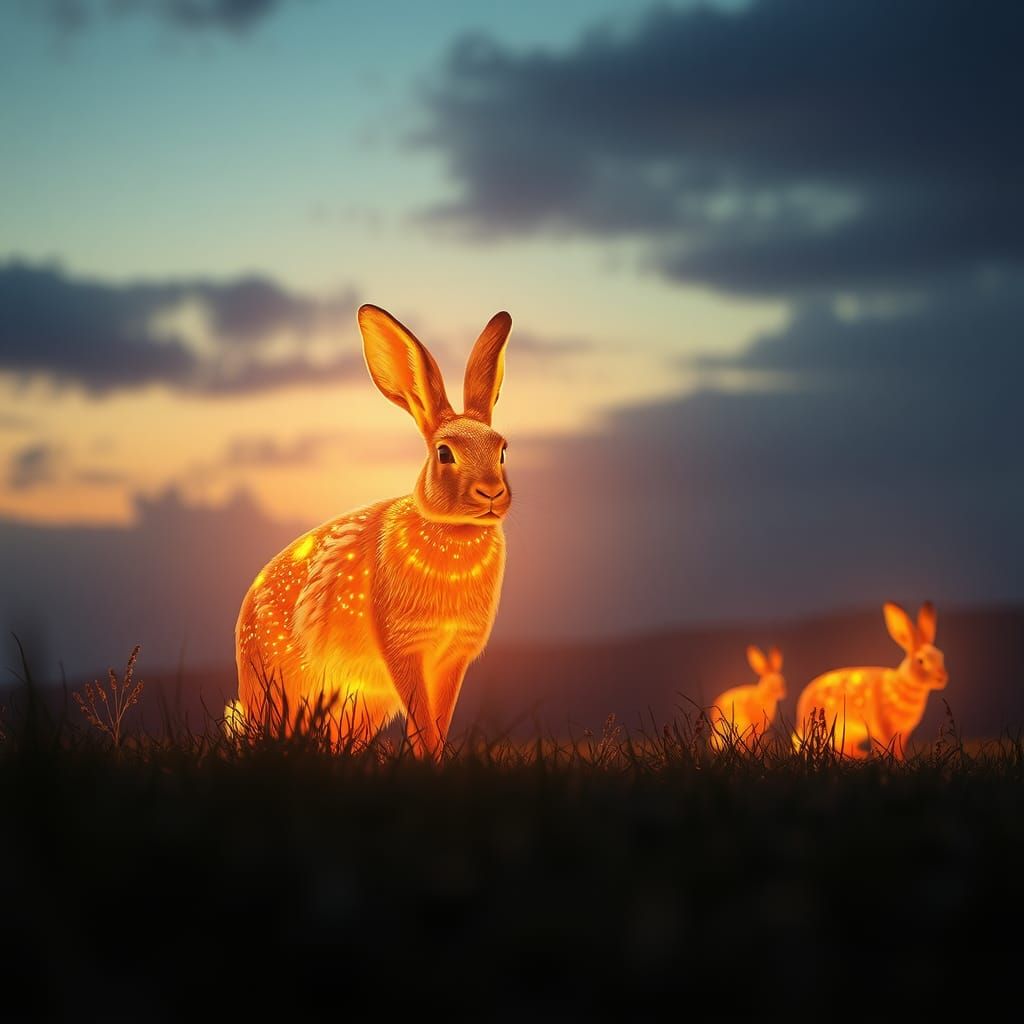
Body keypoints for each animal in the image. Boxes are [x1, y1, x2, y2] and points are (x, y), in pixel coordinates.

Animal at [232, 304, 513, 757]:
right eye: (444, 453)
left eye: (502, 450)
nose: (491, 493)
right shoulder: (404, 648)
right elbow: (422, 720)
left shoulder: (453, 657)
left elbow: (438, 720)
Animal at [794, 601, 948, 759]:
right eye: (921, 661)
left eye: (941, 656)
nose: (943, 678)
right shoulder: (882, 726)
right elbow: (886, 743)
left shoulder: (904, 731)